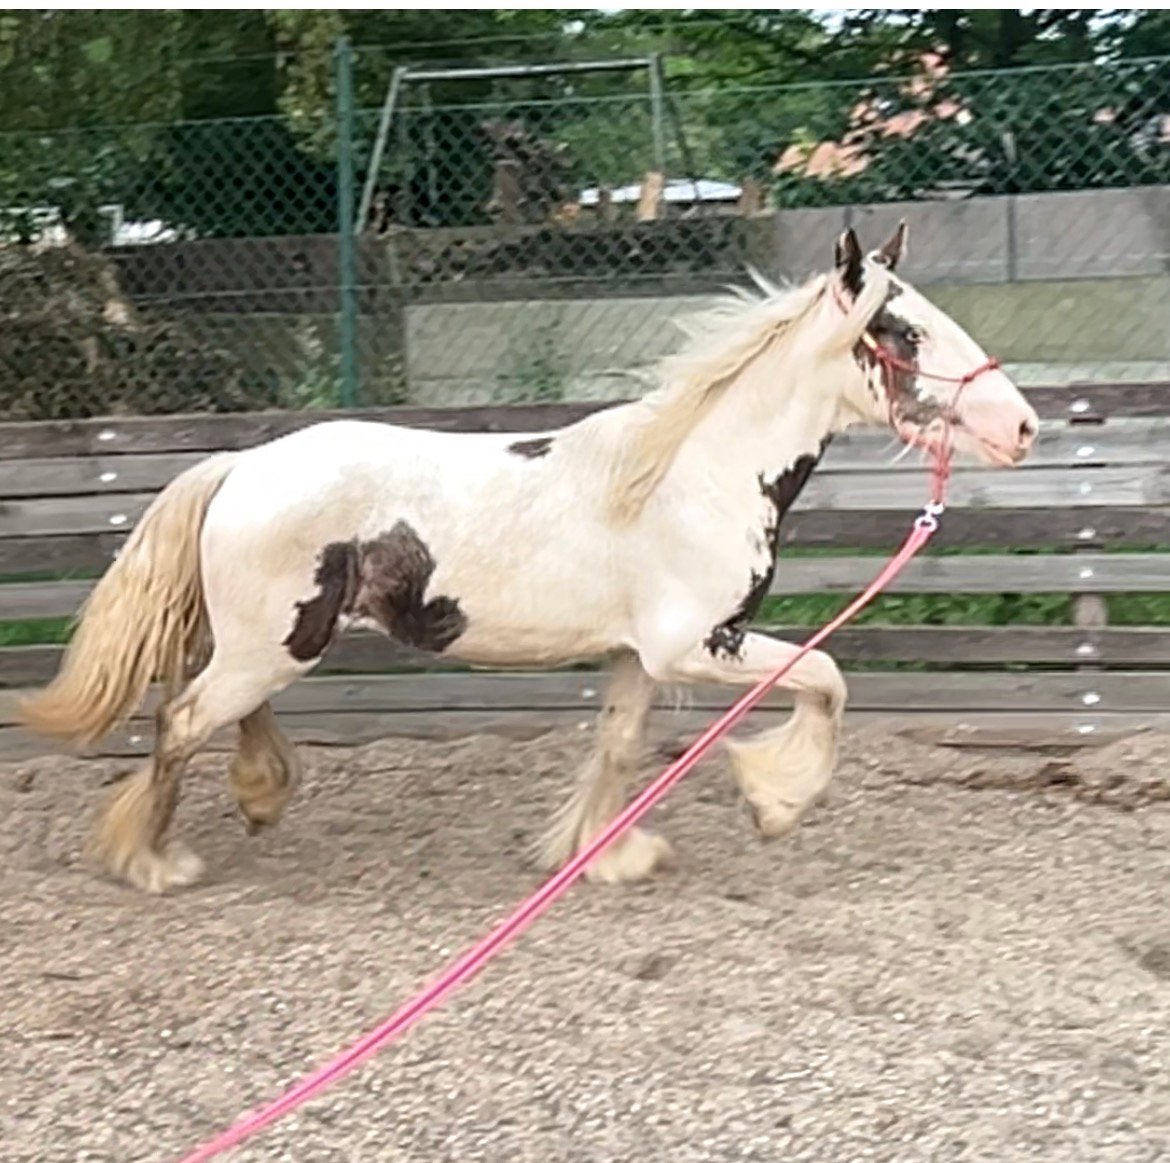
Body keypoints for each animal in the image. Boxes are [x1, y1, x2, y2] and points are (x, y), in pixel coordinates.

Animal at [20, 223, 1039, 894]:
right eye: (906, 331)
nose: (1023, 426)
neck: (691, 474)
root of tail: (239, 465)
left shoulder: (637, 656)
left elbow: (619, 745)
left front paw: (609, 856)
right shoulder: (695, 645)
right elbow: (826, 679)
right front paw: (774, 801)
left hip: (272, 645)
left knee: (215, 715)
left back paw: (257, 798)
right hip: (269, 646)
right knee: (182, 719)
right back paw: (155, 860)